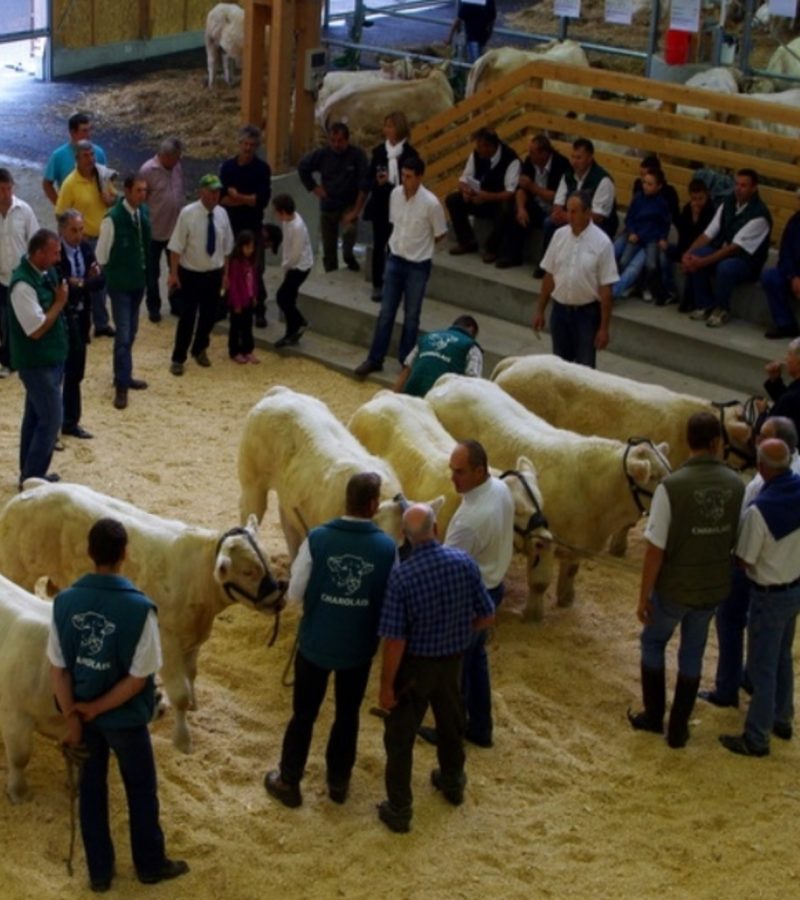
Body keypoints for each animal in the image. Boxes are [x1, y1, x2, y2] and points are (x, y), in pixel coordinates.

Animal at [0, 486, 284, 752]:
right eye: (247, 571)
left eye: (266, 561)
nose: (278, 598)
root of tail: (30, 493)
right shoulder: (167, 642)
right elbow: (179, 694)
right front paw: (183, 740)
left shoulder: (192, 639)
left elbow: (192, 674)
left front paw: (194, 706)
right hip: (17, 569)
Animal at [428, 372, 672, 604]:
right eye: (654, 476)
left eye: (668, 469)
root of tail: (454, 379)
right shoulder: (545, 542)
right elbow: (539, 582)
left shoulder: (576, 543)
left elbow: (571, 570)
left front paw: (566, 598)